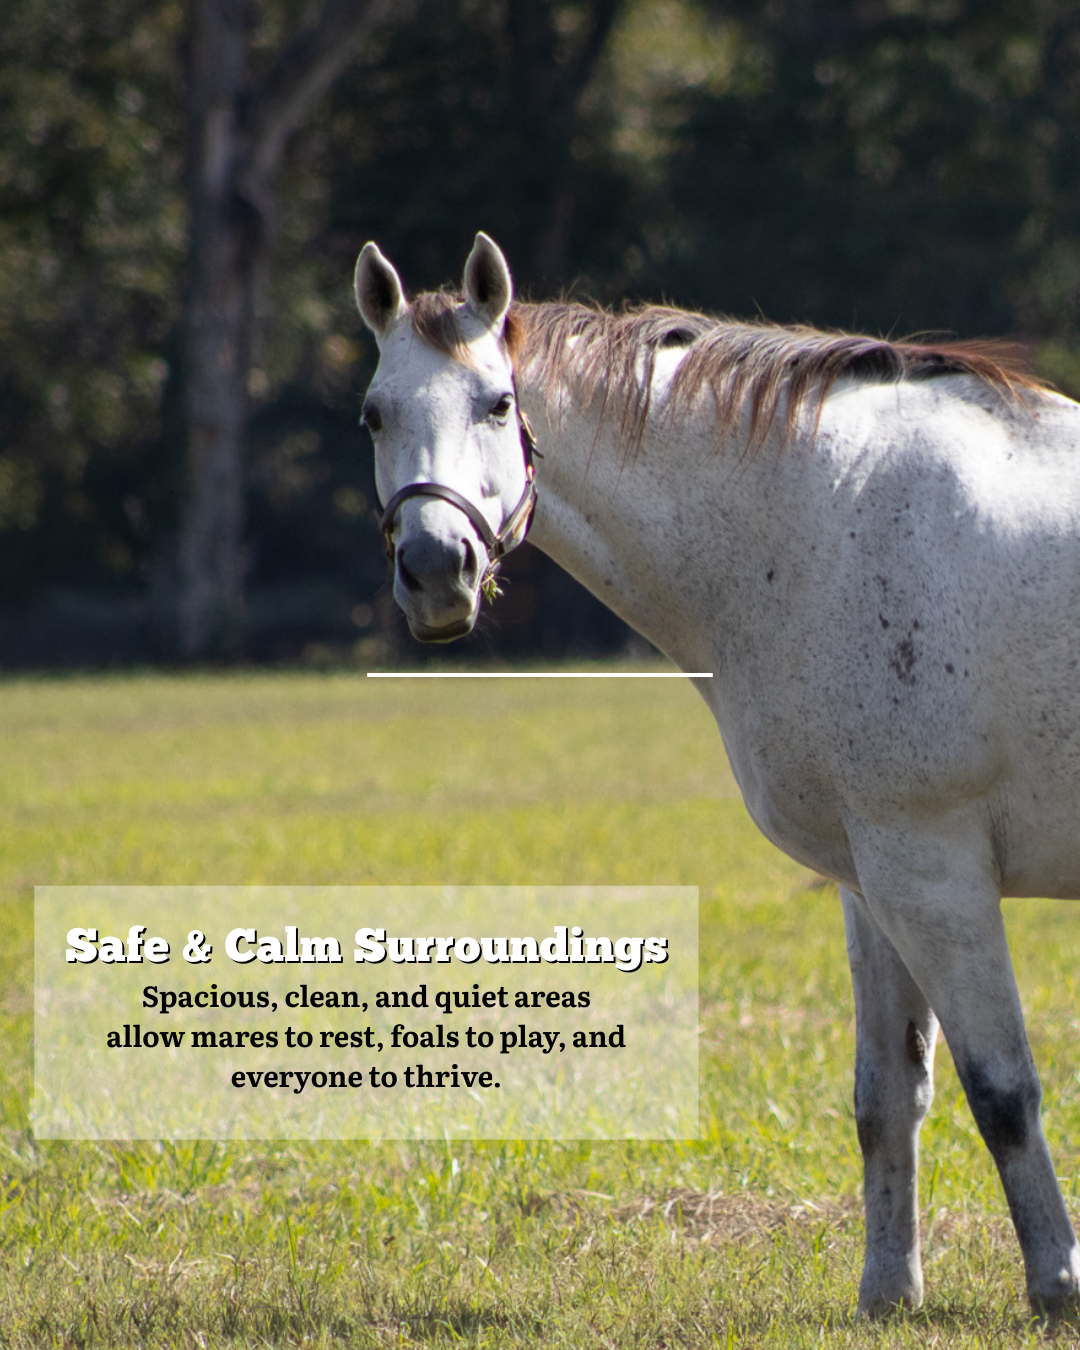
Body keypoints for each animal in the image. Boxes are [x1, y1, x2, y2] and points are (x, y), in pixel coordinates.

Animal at [354, 231, 1080, 1317]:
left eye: (497, 404)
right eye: (374, 413)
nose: (438, 571)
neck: (834, 516)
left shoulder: (936, 871)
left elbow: (1003, 1092)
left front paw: (1058, 1283)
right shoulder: (876, 879)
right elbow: (887, 1094)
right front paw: (888, 1291)